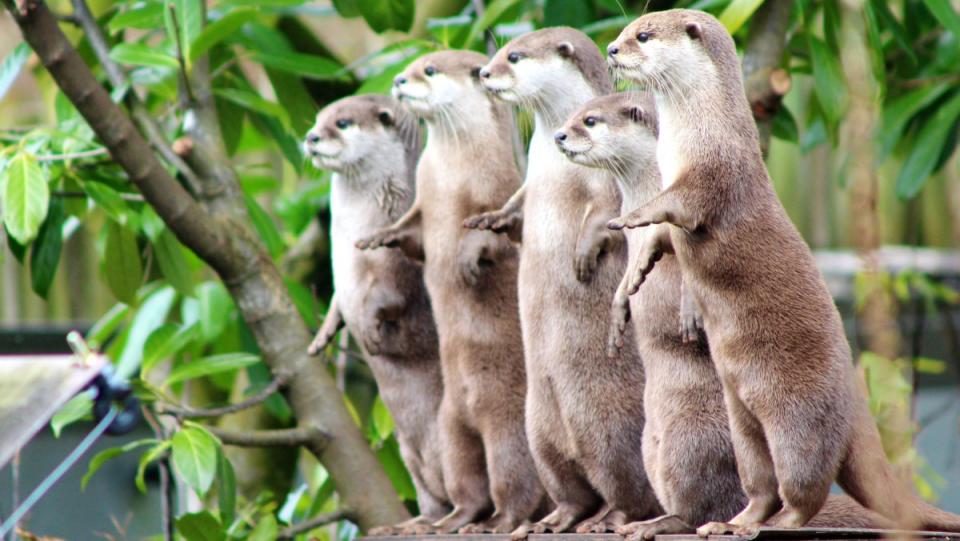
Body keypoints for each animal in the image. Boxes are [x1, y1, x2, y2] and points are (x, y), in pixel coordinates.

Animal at [304, 94, 450, 532]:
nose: (311, 137)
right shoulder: (343, 279)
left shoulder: (394, 255)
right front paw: (322, 336)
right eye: (318, 118)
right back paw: (416, 522)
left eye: (343, 123)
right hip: (409, 454)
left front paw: (369, 331)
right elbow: (338, 299)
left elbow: (388, 297)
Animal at [354, 51, 548, 536]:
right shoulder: (424, 201)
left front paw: (467, 260)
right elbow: (410, 231)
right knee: (466, 484)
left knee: (514, 484)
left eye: (430, 71)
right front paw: (377, 237)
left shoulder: (492, 187)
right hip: (450, 428)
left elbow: (489, 232)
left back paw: (499, 522)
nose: (398, 80)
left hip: (508, 428)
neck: (448, 172)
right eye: (412, 65)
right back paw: (452, 519)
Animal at [468, 27, 664, 532]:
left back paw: (610, 518)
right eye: (499, 50)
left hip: (607, 429)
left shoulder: (606, 185)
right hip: (537, 427)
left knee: (627, 487)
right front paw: (494, 220)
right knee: (568, 485)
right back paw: (554, 519)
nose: (484, 73)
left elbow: (606, 216)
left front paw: (582, 255)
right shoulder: (530, 180)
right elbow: (516, 204)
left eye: (514, 56)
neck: (554, 168)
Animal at [552, 90, 896, 536]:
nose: (559, 135)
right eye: (574, 114)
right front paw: (622, 303)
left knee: (703, 504)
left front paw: (688, 311)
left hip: (691, 440)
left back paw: (664, 523)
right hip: (651, 444)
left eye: (590, 120)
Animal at [608, 9, 960, 536]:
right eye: (625, 31)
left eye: (643, 35)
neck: (693, 136)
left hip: (797, 419)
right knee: (761, 483)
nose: (611, 49)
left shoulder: (714, 172)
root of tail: (855, 403)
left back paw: (773, 524)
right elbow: (664, 238)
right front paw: (635, 273)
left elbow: (677, 206)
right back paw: (732, 522)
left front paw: (631, 217)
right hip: (741, 419)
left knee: (804, 487)